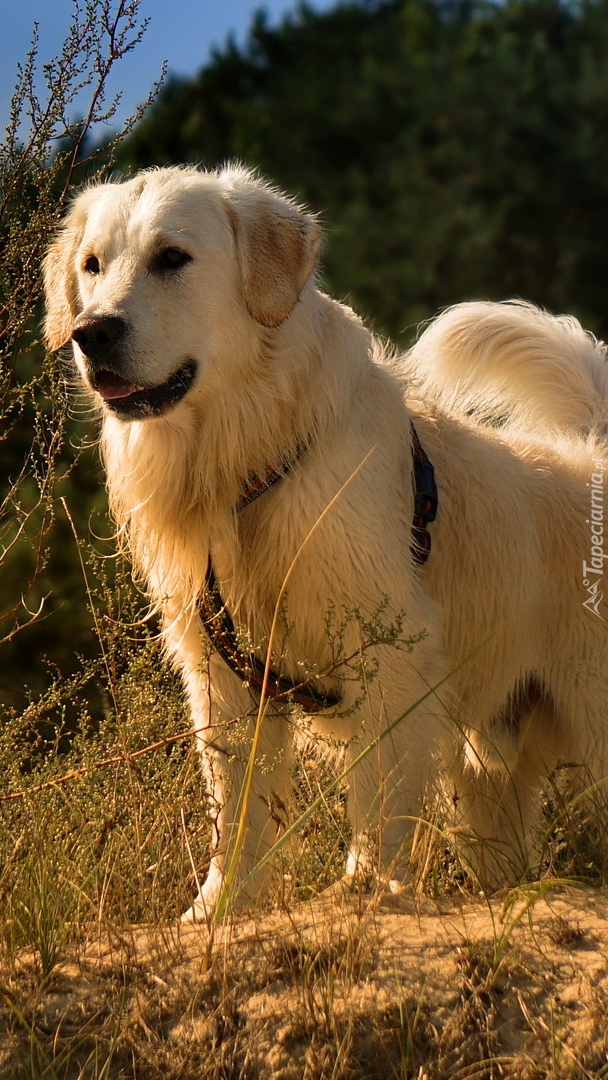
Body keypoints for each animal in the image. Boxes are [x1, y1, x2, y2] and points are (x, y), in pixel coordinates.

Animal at [45, 164, 608, 915]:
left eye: (171, 258)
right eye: (92, 265)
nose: (91, 332)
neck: (247, 462)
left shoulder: (387, 647)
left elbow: (377, 794)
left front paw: (365, 888)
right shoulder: (221, 670)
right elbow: (237, 810)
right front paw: (217, 910)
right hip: (487, 774)